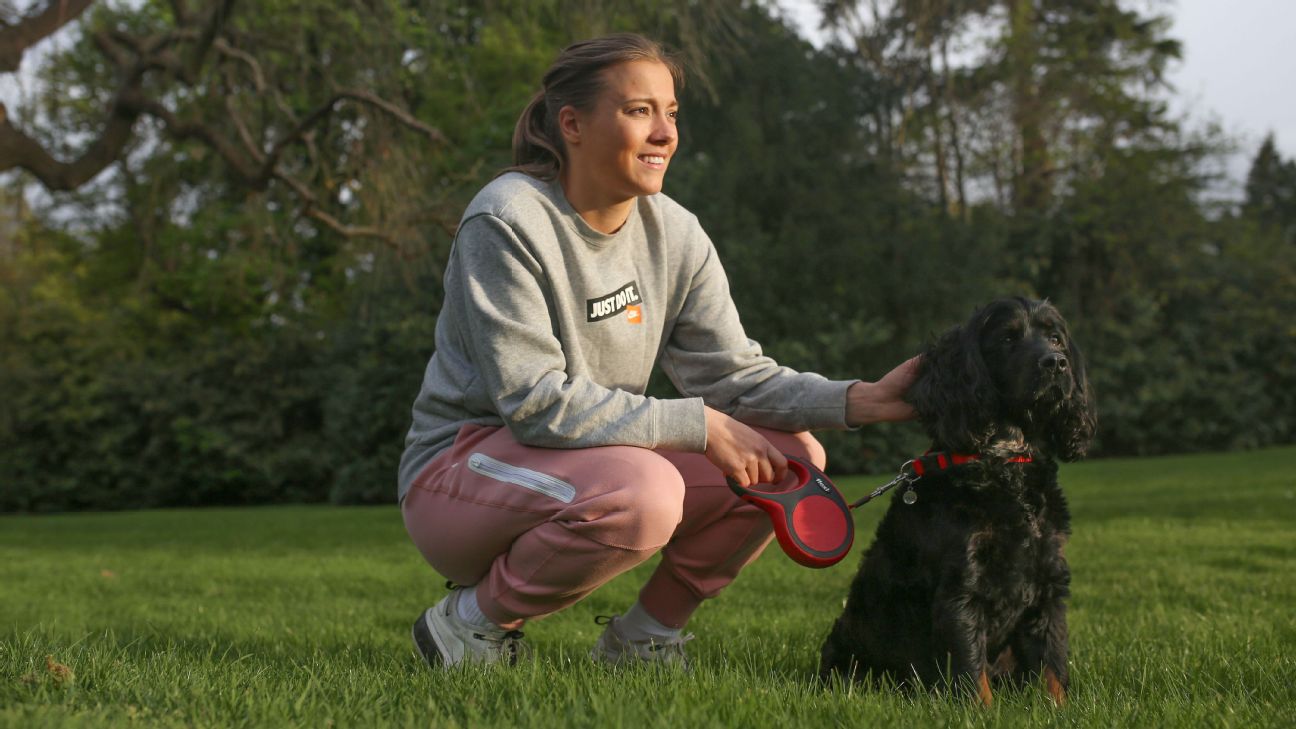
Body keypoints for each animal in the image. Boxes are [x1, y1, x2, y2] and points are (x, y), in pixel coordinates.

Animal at [819, 297, 1093, 705]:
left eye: (1056, 338)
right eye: (1008, 338)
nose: (1056, 363)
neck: (1004, 461)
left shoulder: (1048, 581)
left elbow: (1052, 664)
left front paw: (1059, 709)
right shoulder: (960, 588)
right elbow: (971, 670)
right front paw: (981, 711)